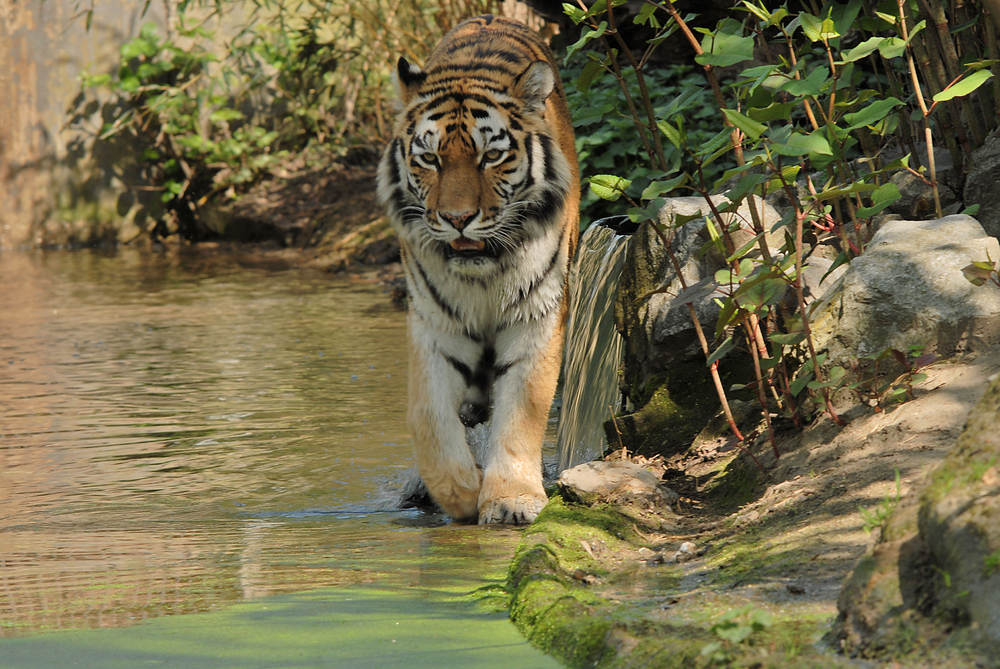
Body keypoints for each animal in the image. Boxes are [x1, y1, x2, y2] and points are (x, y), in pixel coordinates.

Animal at [376, 15, 580, 524]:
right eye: (430, 159)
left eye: (491, 156)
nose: (457, 218)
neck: (483, 273)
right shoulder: (435, 324)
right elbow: (428, 417)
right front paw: (462, 491)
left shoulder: (536, 316)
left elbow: (524, 410)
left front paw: (510, 499)